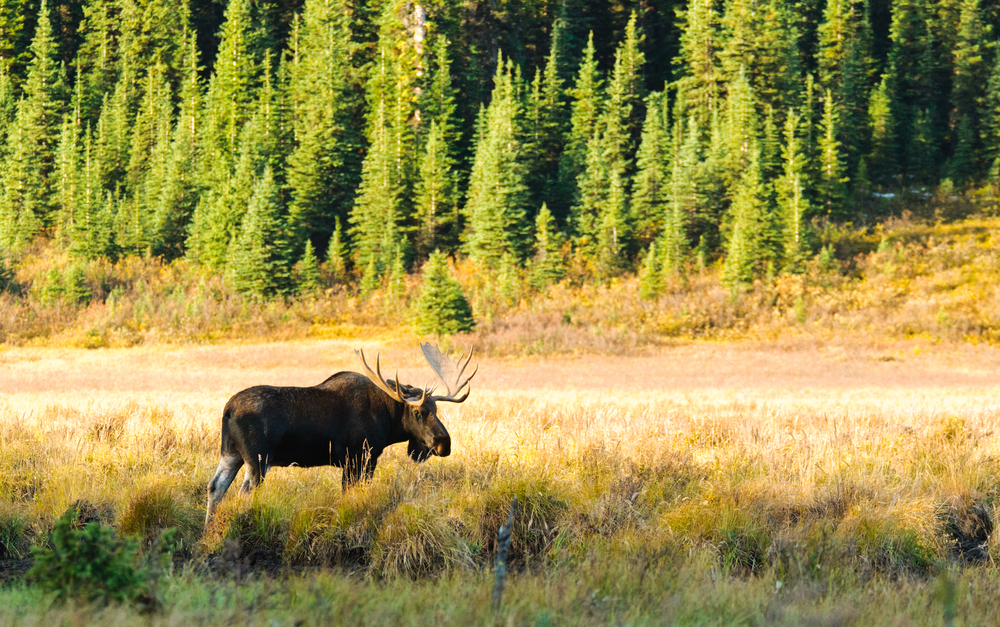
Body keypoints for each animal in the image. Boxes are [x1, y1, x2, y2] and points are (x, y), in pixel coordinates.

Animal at [203, 346, 476, 528]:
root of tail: (227, 410)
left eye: (437, 409)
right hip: (258, 459)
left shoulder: (350, 462)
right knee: (242, 493)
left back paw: (208, 532)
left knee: (215, 487)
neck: (388, 421)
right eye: (418, 412)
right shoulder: (361, 457)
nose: (443, 444)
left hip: (231, 453)